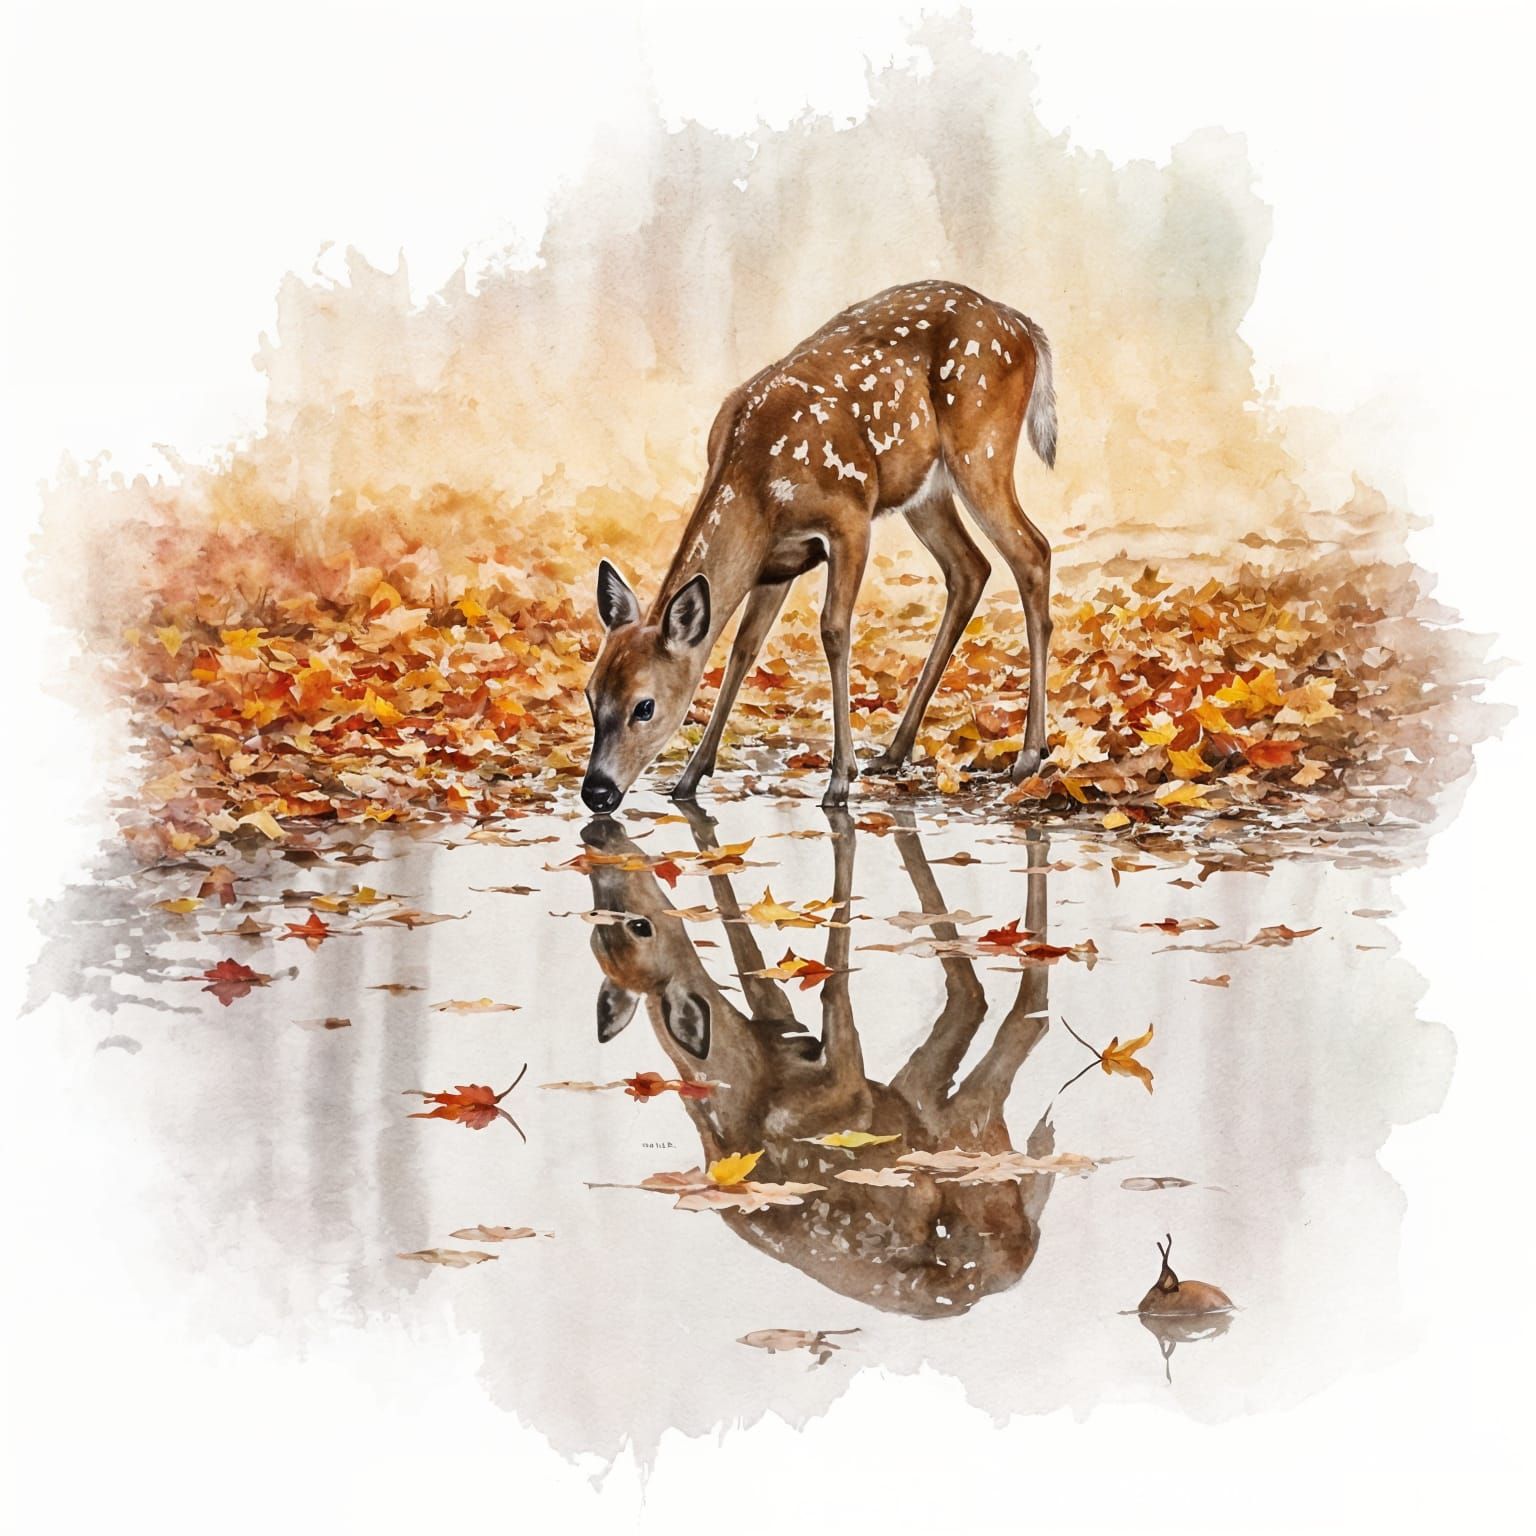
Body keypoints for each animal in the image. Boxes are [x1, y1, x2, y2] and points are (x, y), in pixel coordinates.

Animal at [579, 805, 1059, 1317]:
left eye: (627, 928)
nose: (599, 835)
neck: (752, 1081)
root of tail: (1018, 1262)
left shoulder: (786, 1024)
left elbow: (752, 962)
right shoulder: (848, 1091)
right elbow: (834, 989)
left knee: (974, 998)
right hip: (961, 1145)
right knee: (1000, 1012)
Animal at [581, 279, 1057, 814]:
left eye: (644, 706)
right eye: (591, 695)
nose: (596, 791)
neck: (757, 485)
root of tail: (1020, 323)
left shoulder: (849, 518)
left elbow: (833, 630)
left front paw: (839, 780)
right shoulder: (773, 565)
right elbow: (744, 648)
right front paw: (689, 778)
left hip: (981, 448)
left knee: (1033, 551)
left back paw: (1029, 755)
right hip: (926, 491)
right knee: (970, 568)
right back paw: (894, 751)